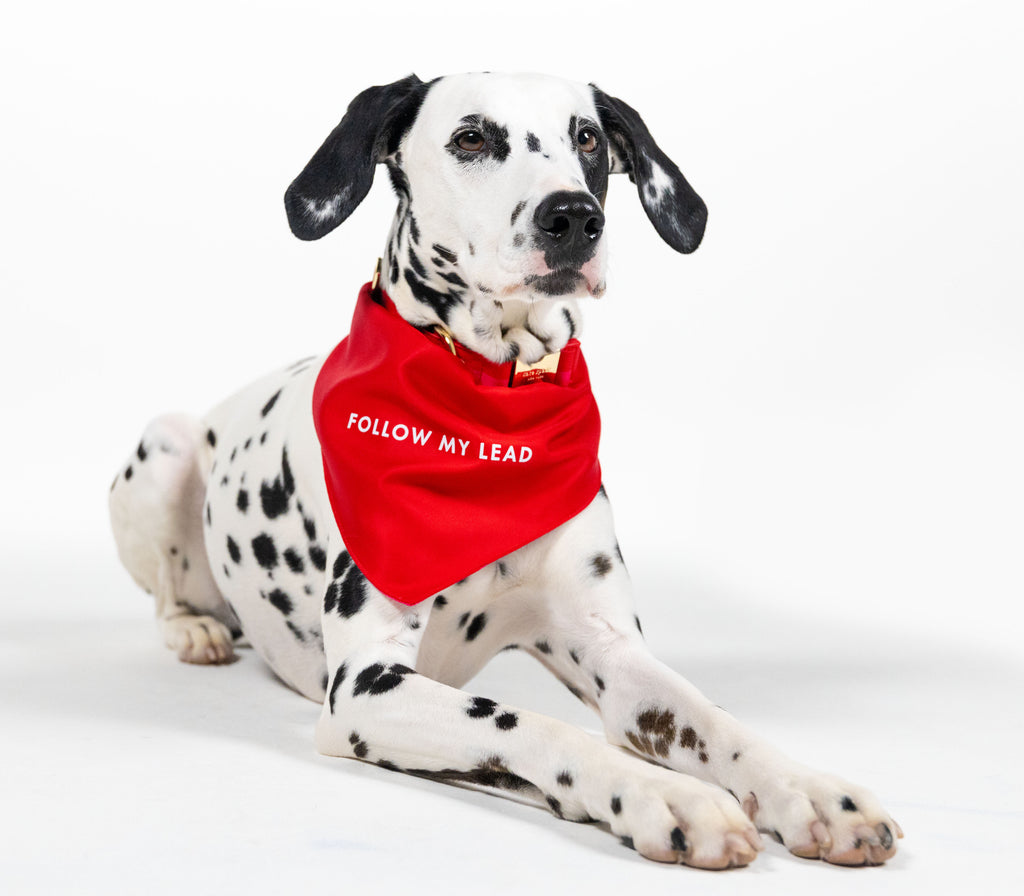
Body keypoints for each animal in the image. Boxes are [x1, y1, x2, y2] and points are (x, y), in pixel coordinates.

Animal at [108, 73, 901, 872]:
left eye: (587, 137)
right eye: (471, 138)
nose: (573, 217)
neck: (493, 411)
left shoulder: (614, 653)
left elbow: (714, 719)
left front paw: (810, 790)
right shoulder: (364, 686)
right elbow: (533, 726)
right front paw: (666, 795)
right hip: (164, 448)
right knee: (169, 591)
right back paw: (196, 631)